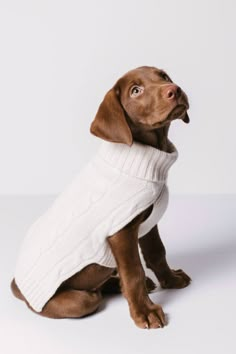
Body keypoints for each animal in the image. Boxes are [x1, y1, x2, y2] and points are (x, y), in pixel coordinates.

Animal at [11, 65, 192, 330]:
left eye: (164, 77)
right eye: (135, 91)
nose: (174, 90)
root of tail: (18, 287)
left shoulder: (148, 224)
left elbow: (157, 252)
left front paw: (170, 280)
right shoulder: (121, 232)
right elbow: (133, 273)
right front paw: (145, 311)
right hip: (77, 301)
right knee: (91, 296)